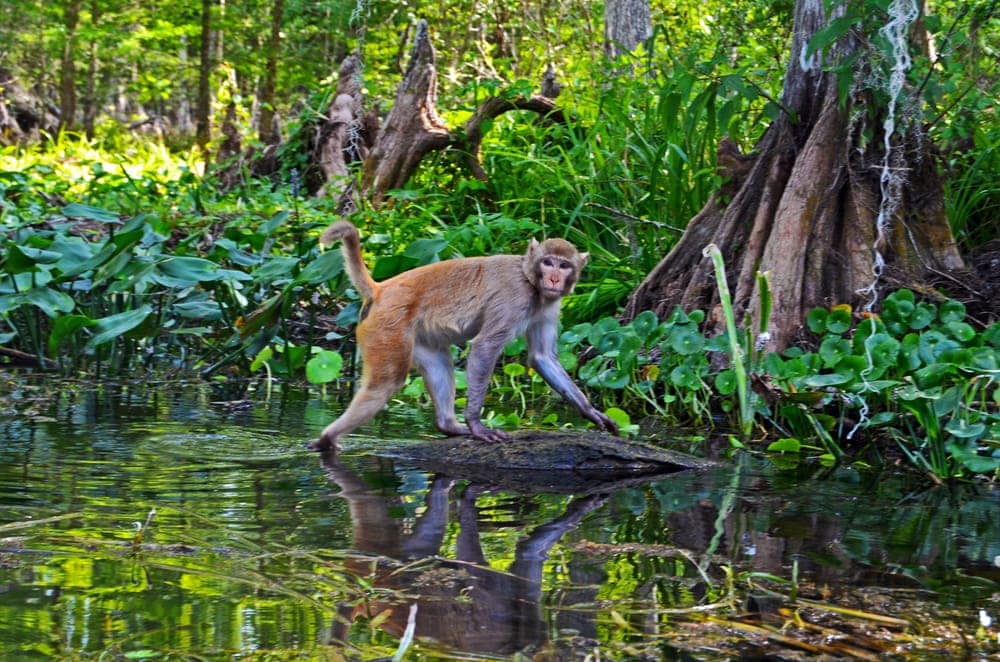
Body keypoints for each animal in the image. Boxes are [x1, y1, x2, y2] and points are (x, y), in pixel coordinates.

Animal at [310, 220, 619, 450]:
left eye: (564, 265)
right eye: (548, 262)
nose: (554, 279)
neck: (531, 281)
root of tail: (381, 289)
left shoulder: (549, 306)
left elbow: (542, 358)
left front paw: (592, 413)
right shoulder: (514, 297)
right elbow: (484, 347)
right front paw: (476, 424)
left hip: (415, 336)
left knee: (437, 364)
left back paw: (448, 426)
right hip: (386, 329)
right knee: (385, 383)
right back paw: (327, 438)